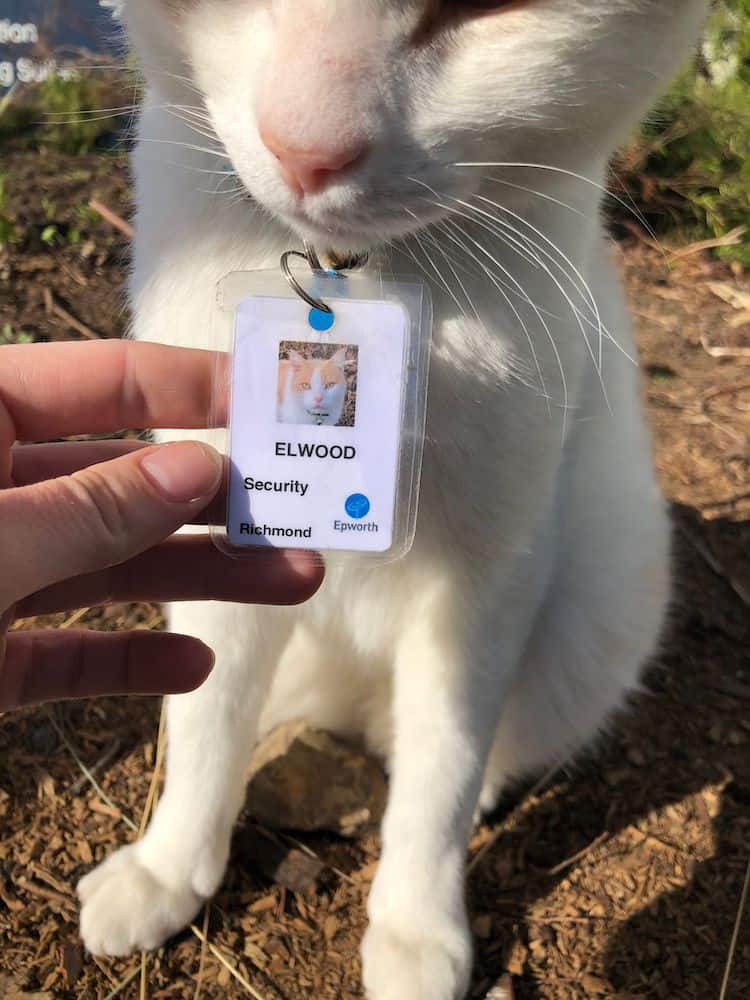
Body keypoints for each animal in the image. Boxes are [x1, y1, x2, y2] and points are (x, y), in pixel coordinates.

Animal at [79, 3, 708, 996]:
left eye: (485, 11)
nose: (304, 148)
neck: (360, 275)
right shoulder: (228, 530)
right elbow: (207, 713)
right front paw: (170, 866)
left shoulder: (493, 569)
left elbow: (443, 760)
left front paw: (416, 925)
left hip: (596, 617)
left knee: (477, 740)